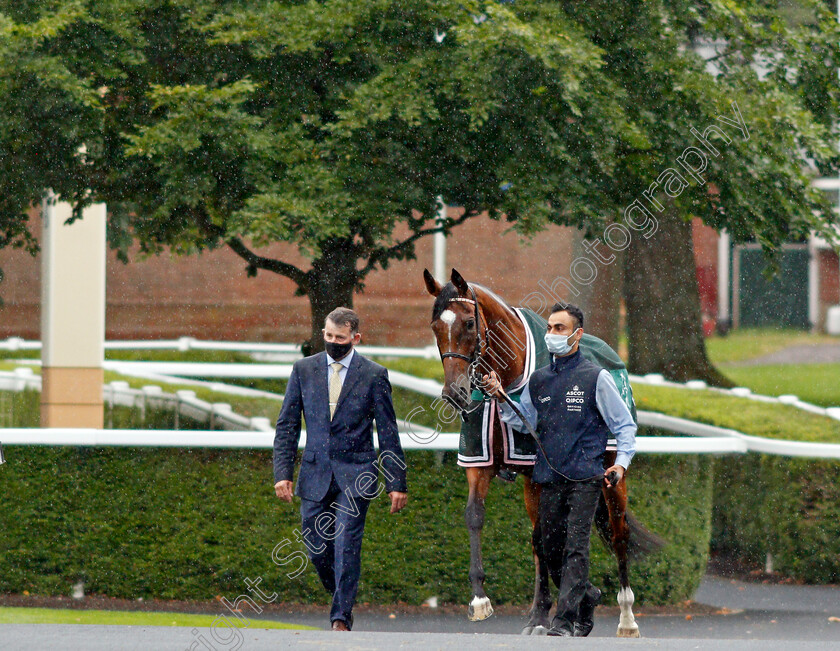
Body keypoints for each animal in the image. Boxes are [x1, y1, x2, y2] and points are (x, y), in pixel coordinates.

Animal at [424, 268, 660, 640]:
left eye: (469, 323)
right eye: (435, 326)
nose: (455, 393)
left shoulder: (539, 473)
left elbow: (542, 539)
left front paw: (552, 611)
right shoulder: (480, 464)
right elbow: (476, 516)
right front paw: (479, 600)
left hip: (612, 477)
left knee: (619, 535)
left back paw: (626, 617)